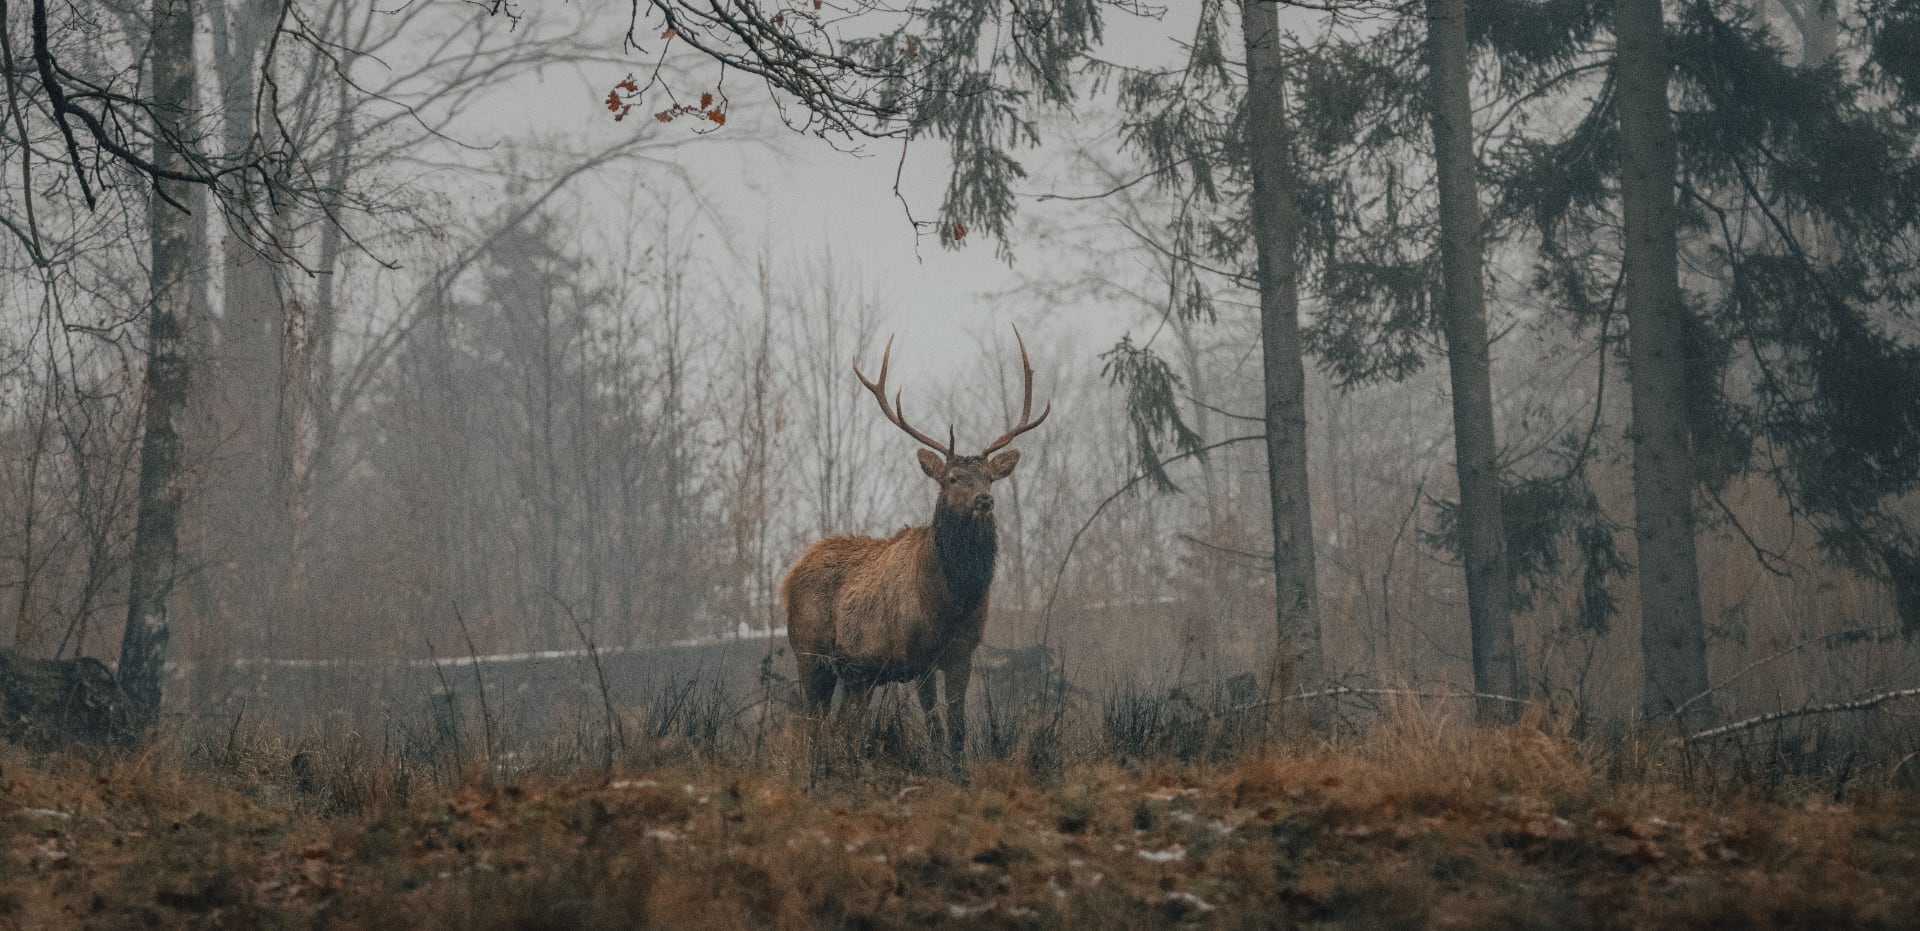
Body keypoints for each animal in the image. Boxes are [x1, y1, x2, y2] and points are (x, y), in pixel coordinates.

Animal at [779, 330, 1052, 763]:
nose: (984, 500)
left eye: (990, 478)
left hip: (858, 675)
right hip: (809, 653)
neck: (952, 602)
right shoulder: (920, 655)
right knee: (812, 724)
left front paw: (959, 769)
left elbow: (957, 728)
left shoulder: (962, 652)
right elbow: (935, 726)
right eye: (953, 478)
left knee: (841, 728)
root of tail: (789, 576)